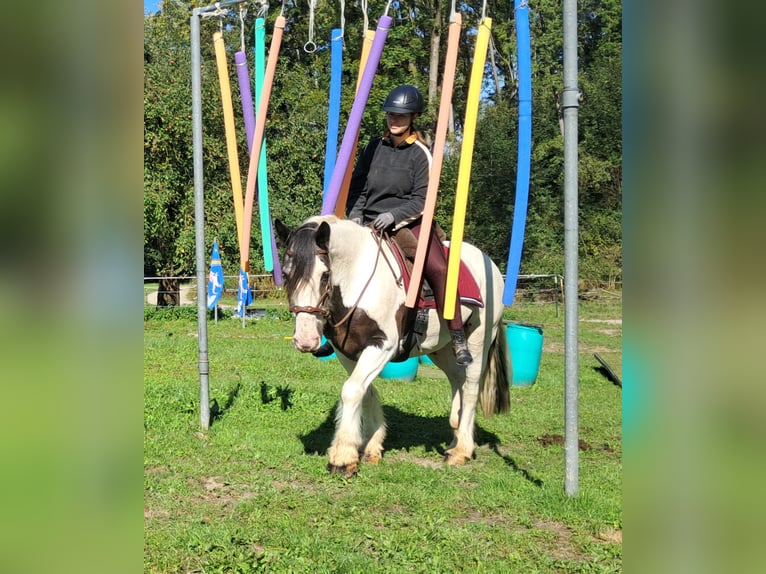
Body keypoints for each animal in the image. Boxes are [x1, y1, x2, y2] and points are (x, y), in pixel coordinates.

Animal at [272, 214, 512, 480]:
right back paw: (455, 439)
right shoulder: (347, 352)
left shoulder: (382, 346)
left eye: (325, 275)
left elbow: (351, 390)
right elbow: (364, 392)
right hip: (440, 349)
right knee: (457, 379)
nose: (306, 340)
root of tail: (489, 263)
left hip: (479, 339)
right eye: (286, 274)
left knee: (470, 387)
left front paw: (343, 457)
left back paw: (462, 451)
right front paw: (371, 445)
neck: (358, 278)